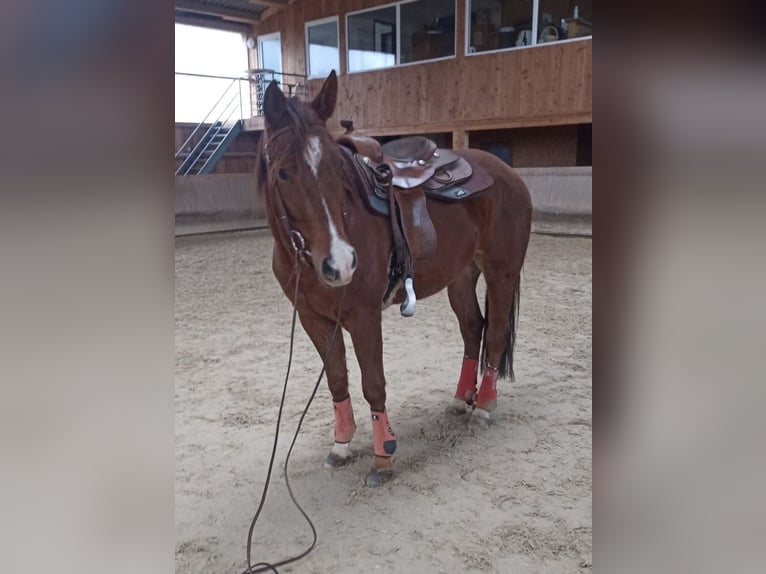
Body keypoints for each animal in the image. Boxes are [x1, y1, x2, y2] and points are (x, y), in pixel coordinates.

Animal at [255, 70, 532, 488]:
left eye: (338, 169)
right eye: (284, 172)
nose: (340, 263)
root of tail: (509, 174)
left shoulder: (363, 316)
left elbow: (373, 382)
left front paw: (383, 457)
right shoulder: (312, 318)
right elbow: (337, 379)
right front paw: (341, 446)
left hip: (502, 272)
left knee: (496, 334)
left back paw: (484, 406)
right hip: (460, 276)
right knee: (473, 330)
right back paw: (460, 399)